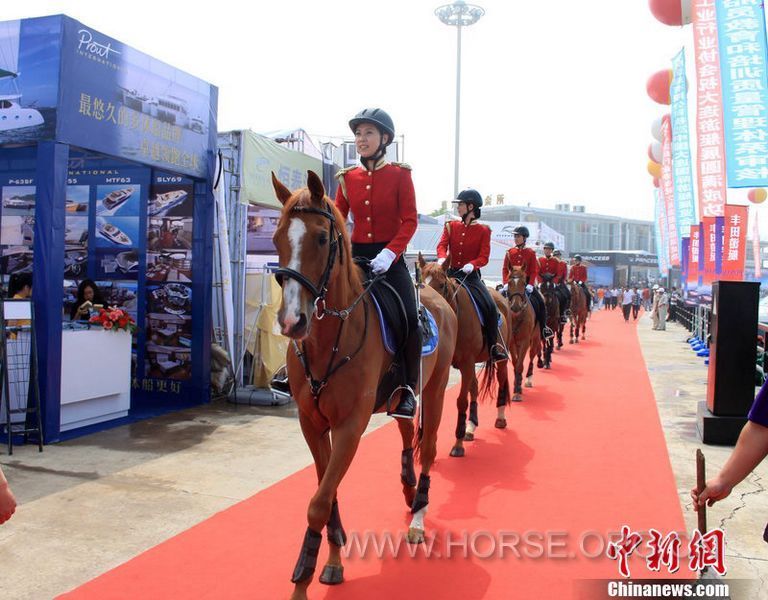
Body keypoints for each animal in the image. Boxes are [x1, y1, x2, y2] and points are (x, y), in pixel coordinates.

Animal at [274, 170, 460, 600]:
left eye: (321, 238)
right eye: (276, 238)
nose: (292, 321)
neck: (331, 337)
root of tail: (436, 296)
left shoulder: (349, 427)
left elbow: (319, 501)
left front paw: (302, 579)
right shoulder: (312, 423)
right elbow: (327, 493)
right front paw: (333, 560)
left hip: (436, 388)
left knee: (428, 446)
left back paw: (418, 516)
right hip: (400, 394)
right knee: (407, 433)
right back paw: (408, 489)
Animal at [420, 255, 510, 458]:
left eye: (442, 284)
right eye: (420, 281)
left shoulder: (467, 363)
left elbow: (461, 401)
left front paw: (458, 444)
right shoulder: (452, 367)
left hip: (499, 358)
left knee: (502, 380)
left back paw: (500, 417)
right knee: (474, 388)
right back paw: (471, 427)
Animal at [498, 268, 540, 418]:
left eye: (524, 283)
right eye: (510, 282)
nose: (515, 306)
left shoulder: (525, 341)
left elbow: (520, 365)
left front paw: (517, 391)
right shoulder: (511, 342)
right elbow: (516, 363)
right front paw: (516, 385)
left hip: (535, 339)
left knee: (533, 355)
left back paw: (528, 379)